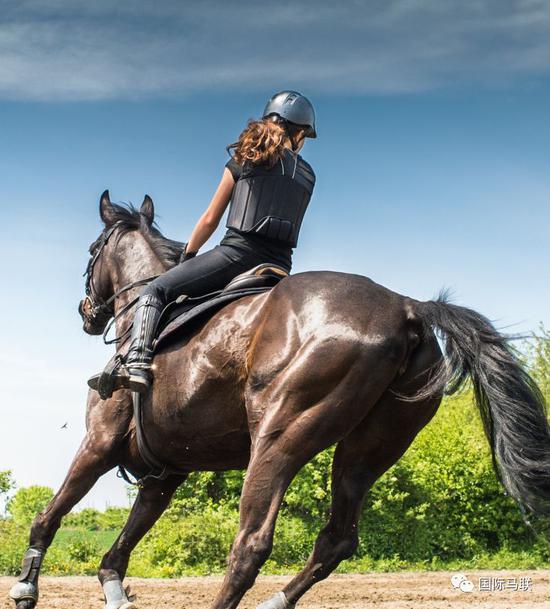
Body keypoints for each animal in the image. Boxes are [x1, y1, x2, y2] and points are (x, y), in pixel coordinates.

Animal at [9, 190, 550, 608]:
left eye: (91, 250)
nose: (86, 312)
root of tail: (408, 308)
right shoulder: (166, 473)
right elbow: (119, 549)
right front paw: (114, 592)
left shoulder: (98, 445)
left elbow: (48, 517)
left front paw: (25, 587)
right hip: (368, 451)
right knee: (336, 539)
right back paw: (276, 599)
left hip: (280, 438)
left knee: (250, 544)